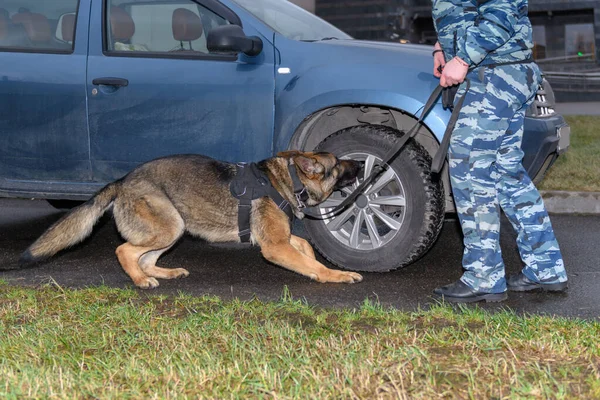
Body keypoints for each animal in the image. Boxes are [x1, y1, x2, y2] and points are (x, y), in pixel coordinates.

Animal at [21, 151, 364, 288]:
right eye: (338, 164)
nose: (361, 165)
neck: (288, 180)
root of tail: (123, 181)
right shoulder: (274, 247)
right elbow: (311, 259)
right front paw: (335, 275)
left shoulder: (279, 239)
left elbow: (305, 246)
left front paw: (316, 266)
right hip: (170, 225)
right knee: (125, 251)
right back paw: (140, 280)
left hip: (175, 227)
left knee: (146, 258)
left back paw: (165, 272)